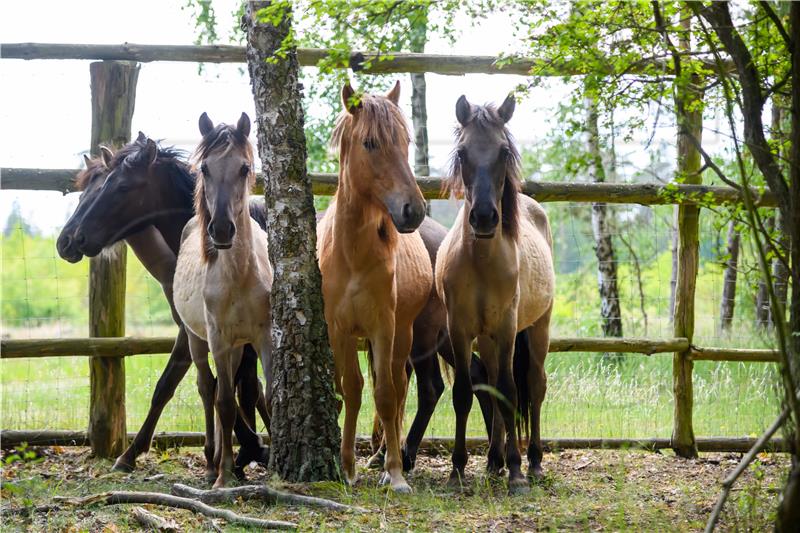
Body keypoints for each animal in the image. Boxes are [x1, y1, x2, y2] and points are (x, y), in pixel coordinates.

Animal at [56, 133, 270, 478]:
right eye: (85, 193)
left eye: (120, 187)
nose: (68, 241)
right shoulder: (203, 332)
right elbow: (214, 387)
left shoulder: (199, 332)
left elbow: (188, 384)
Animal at [173, 112, 274, 486]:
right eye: (204, 168)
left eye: (244, 168)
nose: (220, 230)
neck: (240, 275)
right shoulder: (217, 339)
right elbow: (226, 403)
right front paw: (225, 475)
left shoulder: (263, 337)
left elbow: (268, 396)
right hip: (198, 339)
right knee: (208, 389)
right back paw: (211, 462)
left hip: (236, 347)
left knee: (221, 389)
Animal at [318, 81, 432, 492]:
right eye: (369, 142)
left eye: (405, 140)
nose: (413, 210)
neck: (353, 253)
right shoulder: (339, 329)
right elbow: (352, 388)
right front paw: (347, 466)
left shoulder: (384, 326)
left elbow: (384, 394)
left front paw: (395, 473)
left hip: (404, 334)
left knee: (398, 388)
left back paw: (386, 458)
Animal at [434, 94, 552, 494]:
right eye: (462, 152)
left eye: (503, 151)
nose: (484, 217)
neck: (482, 262)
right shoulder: (459, 329)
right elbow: (465, 393)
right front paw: (457, 469)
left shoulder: (506, 328)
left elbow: (510, 390)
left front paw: (517, 472)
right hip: (486, 339)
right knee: (493, 384)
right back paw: (493, 461)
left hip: (538, 328)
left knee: (533, 384)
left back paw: (532, 462)